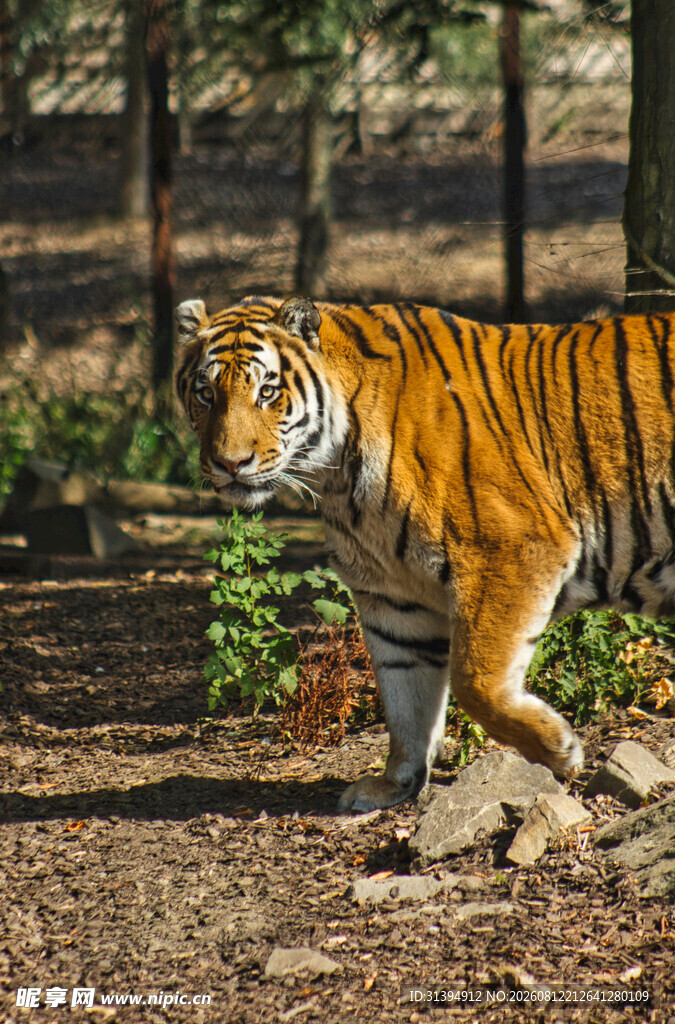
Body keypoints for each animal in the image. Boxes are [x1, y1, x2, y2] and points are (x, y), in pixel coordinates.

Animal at [175, 294, 675, 813]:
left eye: (268, 392)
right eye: (206, 394)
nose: (230, 464)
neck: (337, 479)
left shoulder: (512, 549)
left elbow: (476, 682)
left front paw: (557, 749)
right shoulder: (392, 596)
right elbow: (404, 697)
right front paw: (395, 783)